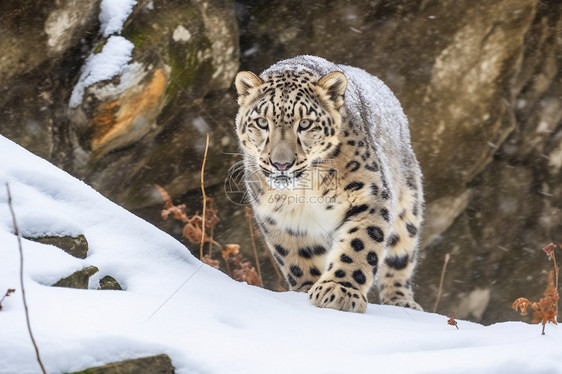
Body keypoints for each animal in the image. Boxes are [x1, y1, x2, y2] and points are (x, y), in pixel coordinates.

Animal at [232, 55, 420, 312]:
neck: (303, 190)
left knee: (401, 255)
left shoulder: (368, 195)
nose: (281, 164)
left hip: (408, 202)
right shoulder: (279, 216)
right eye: (262, 122)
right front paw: (306, 289)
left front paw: (340, 291)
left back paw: (402, 302)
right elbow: (298, 256)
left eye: (305, 124)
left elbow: (360, 244)